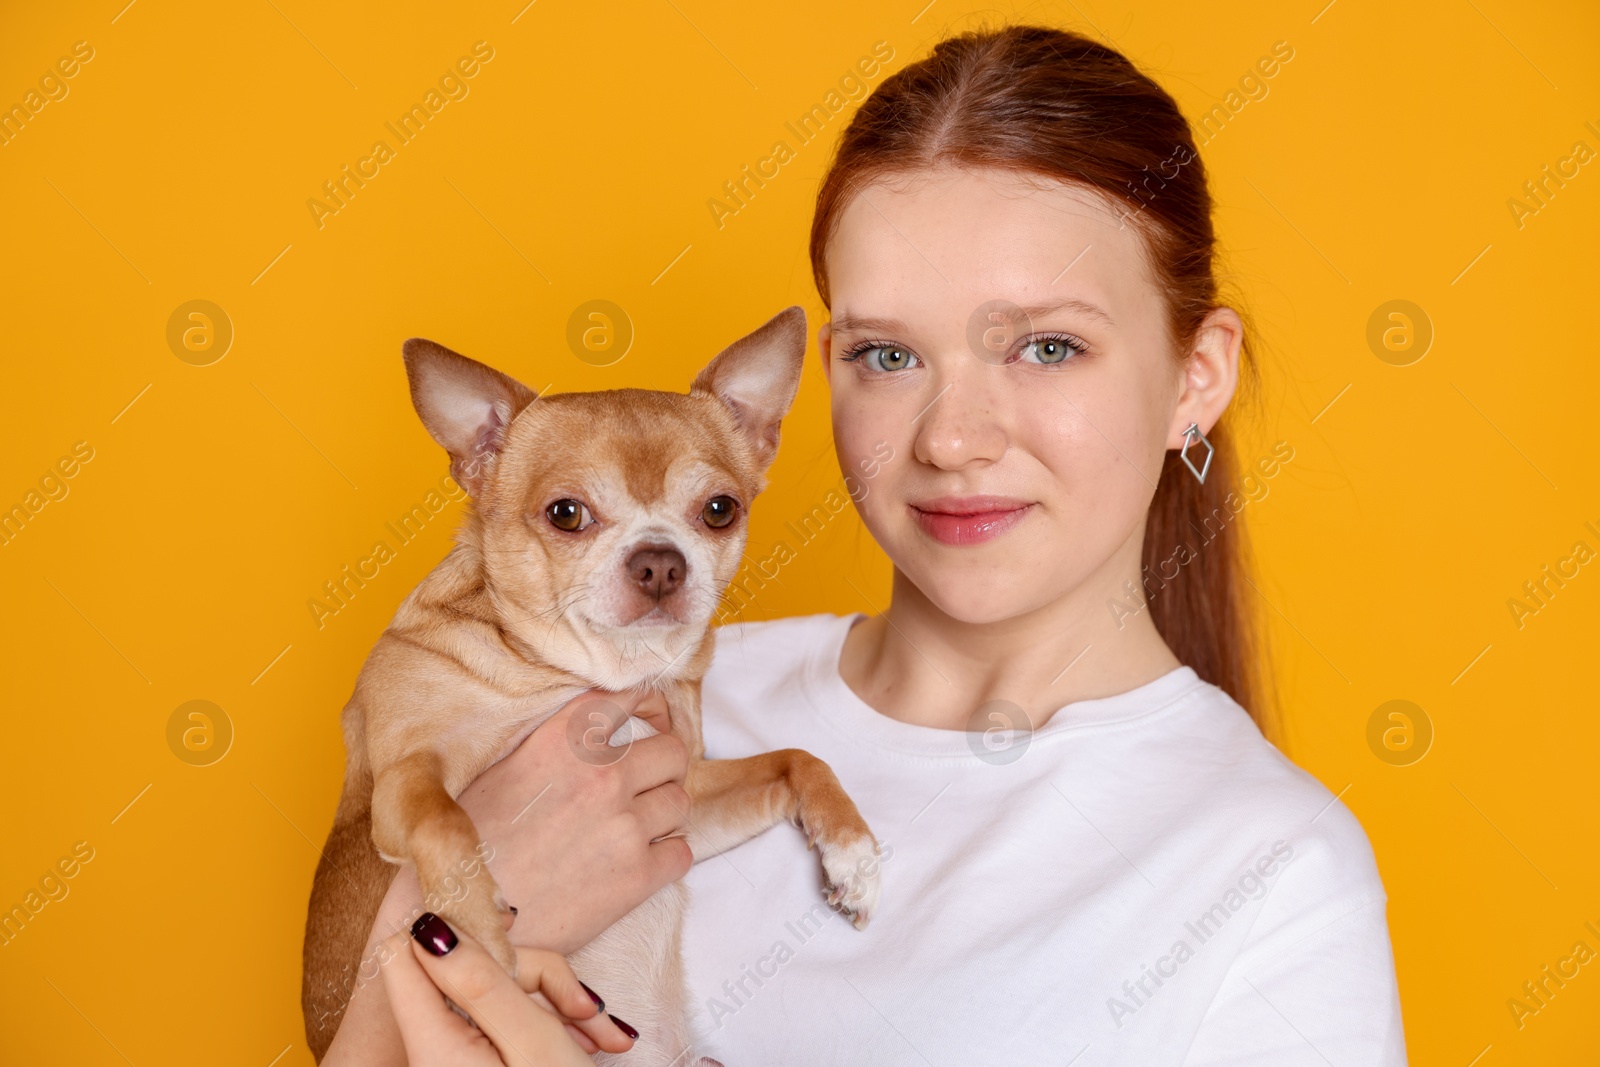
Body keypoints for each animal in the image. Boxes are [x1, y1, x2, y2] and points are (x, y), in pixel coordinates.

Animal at [305, 303, 883, 1062]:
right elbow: (444, 819)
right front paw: (476, 927)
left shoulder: (682, 804)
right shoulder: (403, 778)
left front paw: (853, 854)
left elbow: (799, 758)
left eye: (720, 509)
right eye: (566, 513)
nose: (660, 561)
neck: (576, 674)